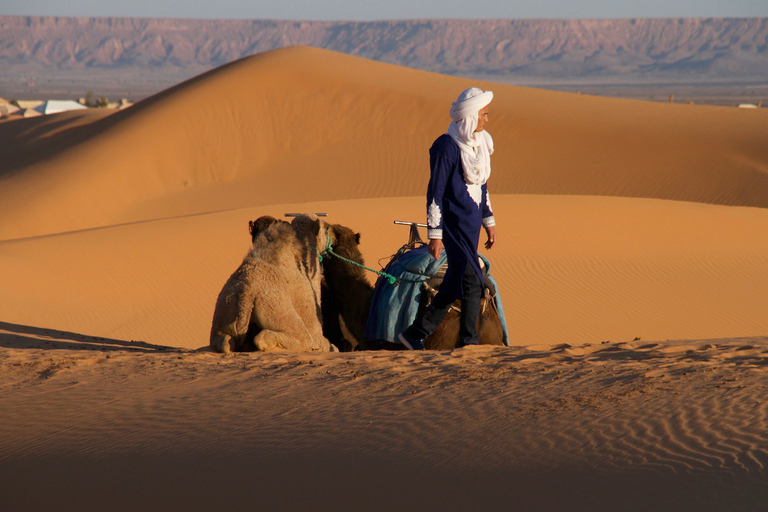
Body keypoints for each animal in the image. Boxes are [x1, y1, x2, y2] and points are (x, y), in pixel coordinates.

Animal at [208, 214, 334, 354]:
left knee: (224, 341)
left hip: (223, 313)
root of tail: (246, 292)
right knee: (294, 338)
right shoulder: (315, 330)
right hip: (278, 310)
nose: (335, 236)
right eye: (326, 228)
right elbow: (330, 345)